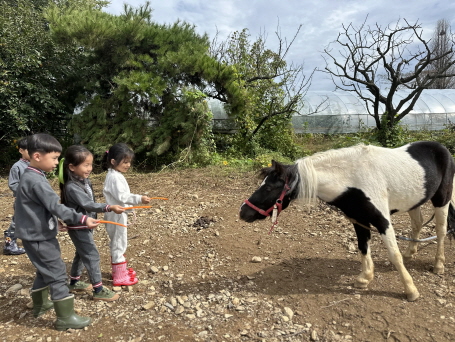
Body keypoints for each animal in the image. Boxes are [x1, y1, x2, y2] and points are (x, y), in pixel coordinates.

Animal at [239, 140, 455, 300]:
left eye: (269, 188)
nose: (243, 212)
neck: (353, 179)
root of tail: (442, 148)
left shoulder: (382, 221)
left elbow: (394, 254)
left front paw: (411, 290)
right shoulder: (359, 220)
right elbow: (363, 247)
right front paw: (364, 278)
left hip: (442, 200)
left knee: (441, 230)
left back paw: (438, 265)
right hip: (414, 202)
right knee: (417, 224)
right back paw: (411, 253)